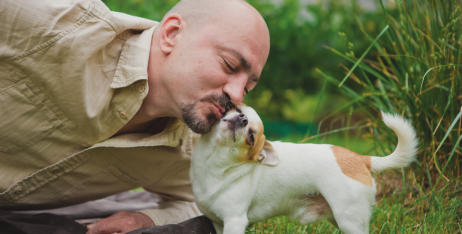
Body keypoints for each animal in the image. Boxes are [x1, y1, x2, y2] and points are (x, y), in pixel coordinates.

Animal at [191, 105, 418, 233]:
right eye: (238, 112)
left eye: (251, 137)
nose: (243, 119)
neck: (213, 163)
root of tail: (360, 158)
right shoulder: (220, 224)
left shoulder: (235, 221)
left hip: (350, 220)